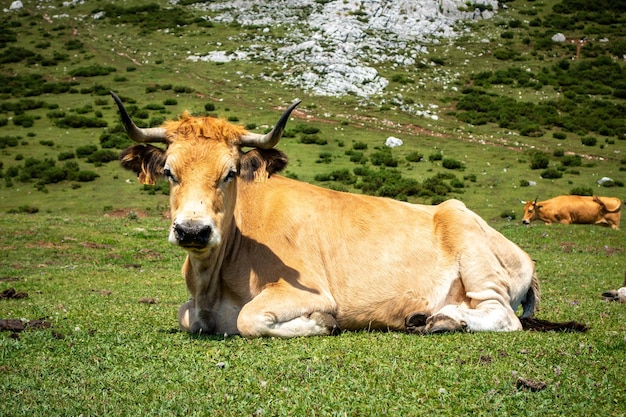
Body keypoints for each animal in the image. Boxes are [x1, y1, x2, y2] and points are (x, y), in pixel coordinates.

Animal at [109, 92, 584, 338]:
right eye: (169, 172)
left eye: (229, 174)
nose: (192, 230)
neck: (214, 278)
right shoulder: (194, 307)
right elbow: (185, 315)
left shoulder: (309, 291)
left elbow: (250, 319)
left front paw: (320, 324)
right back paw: (429, 318)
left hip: (468, 239)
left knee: (502, 316)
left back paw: (441, 319)